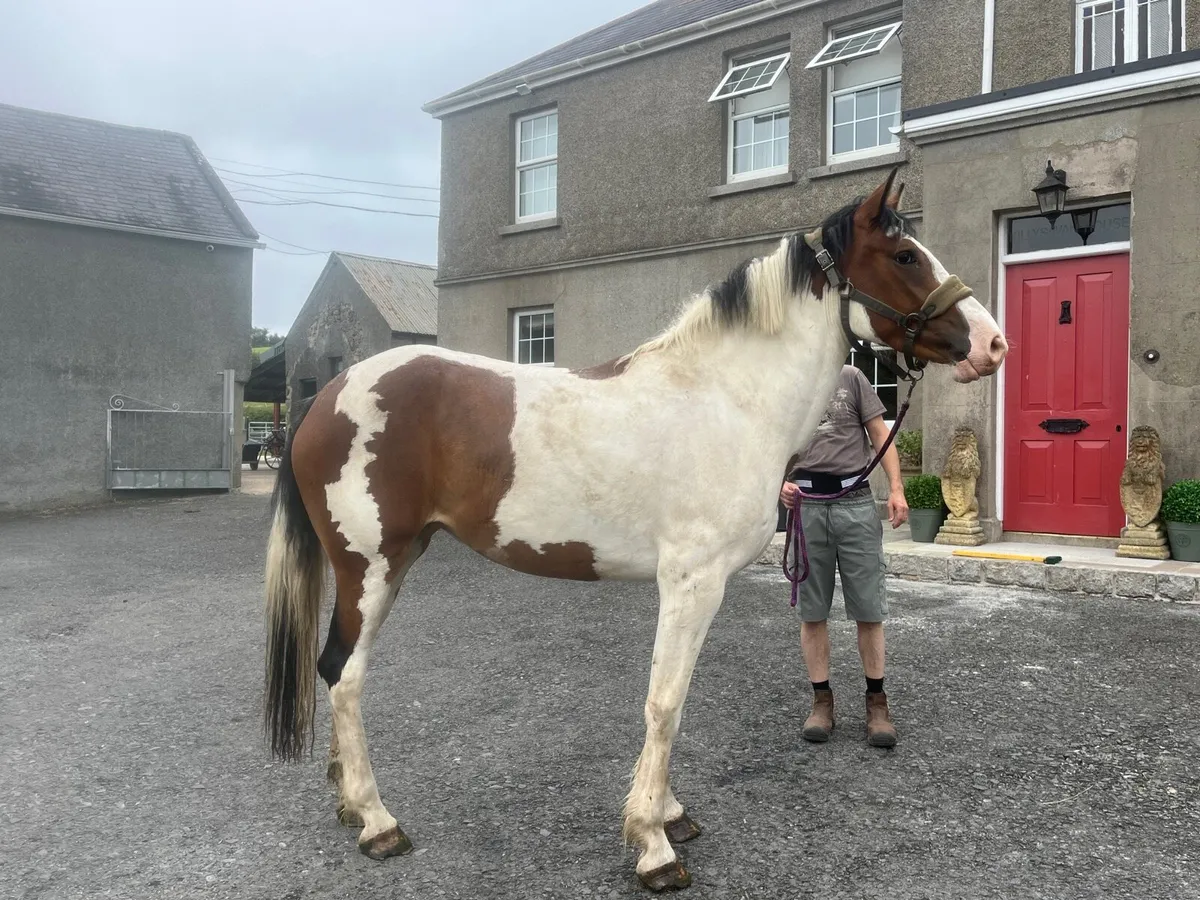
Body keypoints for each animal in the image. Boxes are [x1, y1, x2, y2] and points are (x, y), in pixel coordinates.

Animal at [262, 169, 1008, 892]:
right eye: (906, 255)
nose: (993, 343)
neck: (729, 400)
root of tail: (327, 396)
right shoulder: (690, 582)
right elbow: (665, 703)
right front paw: (652, 843)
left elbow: (673, 702)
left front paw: (670, 815)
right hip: (371, 566)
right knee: (345, 675)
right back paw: (377, 822)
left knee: (338, 672)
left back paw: (349, 803)